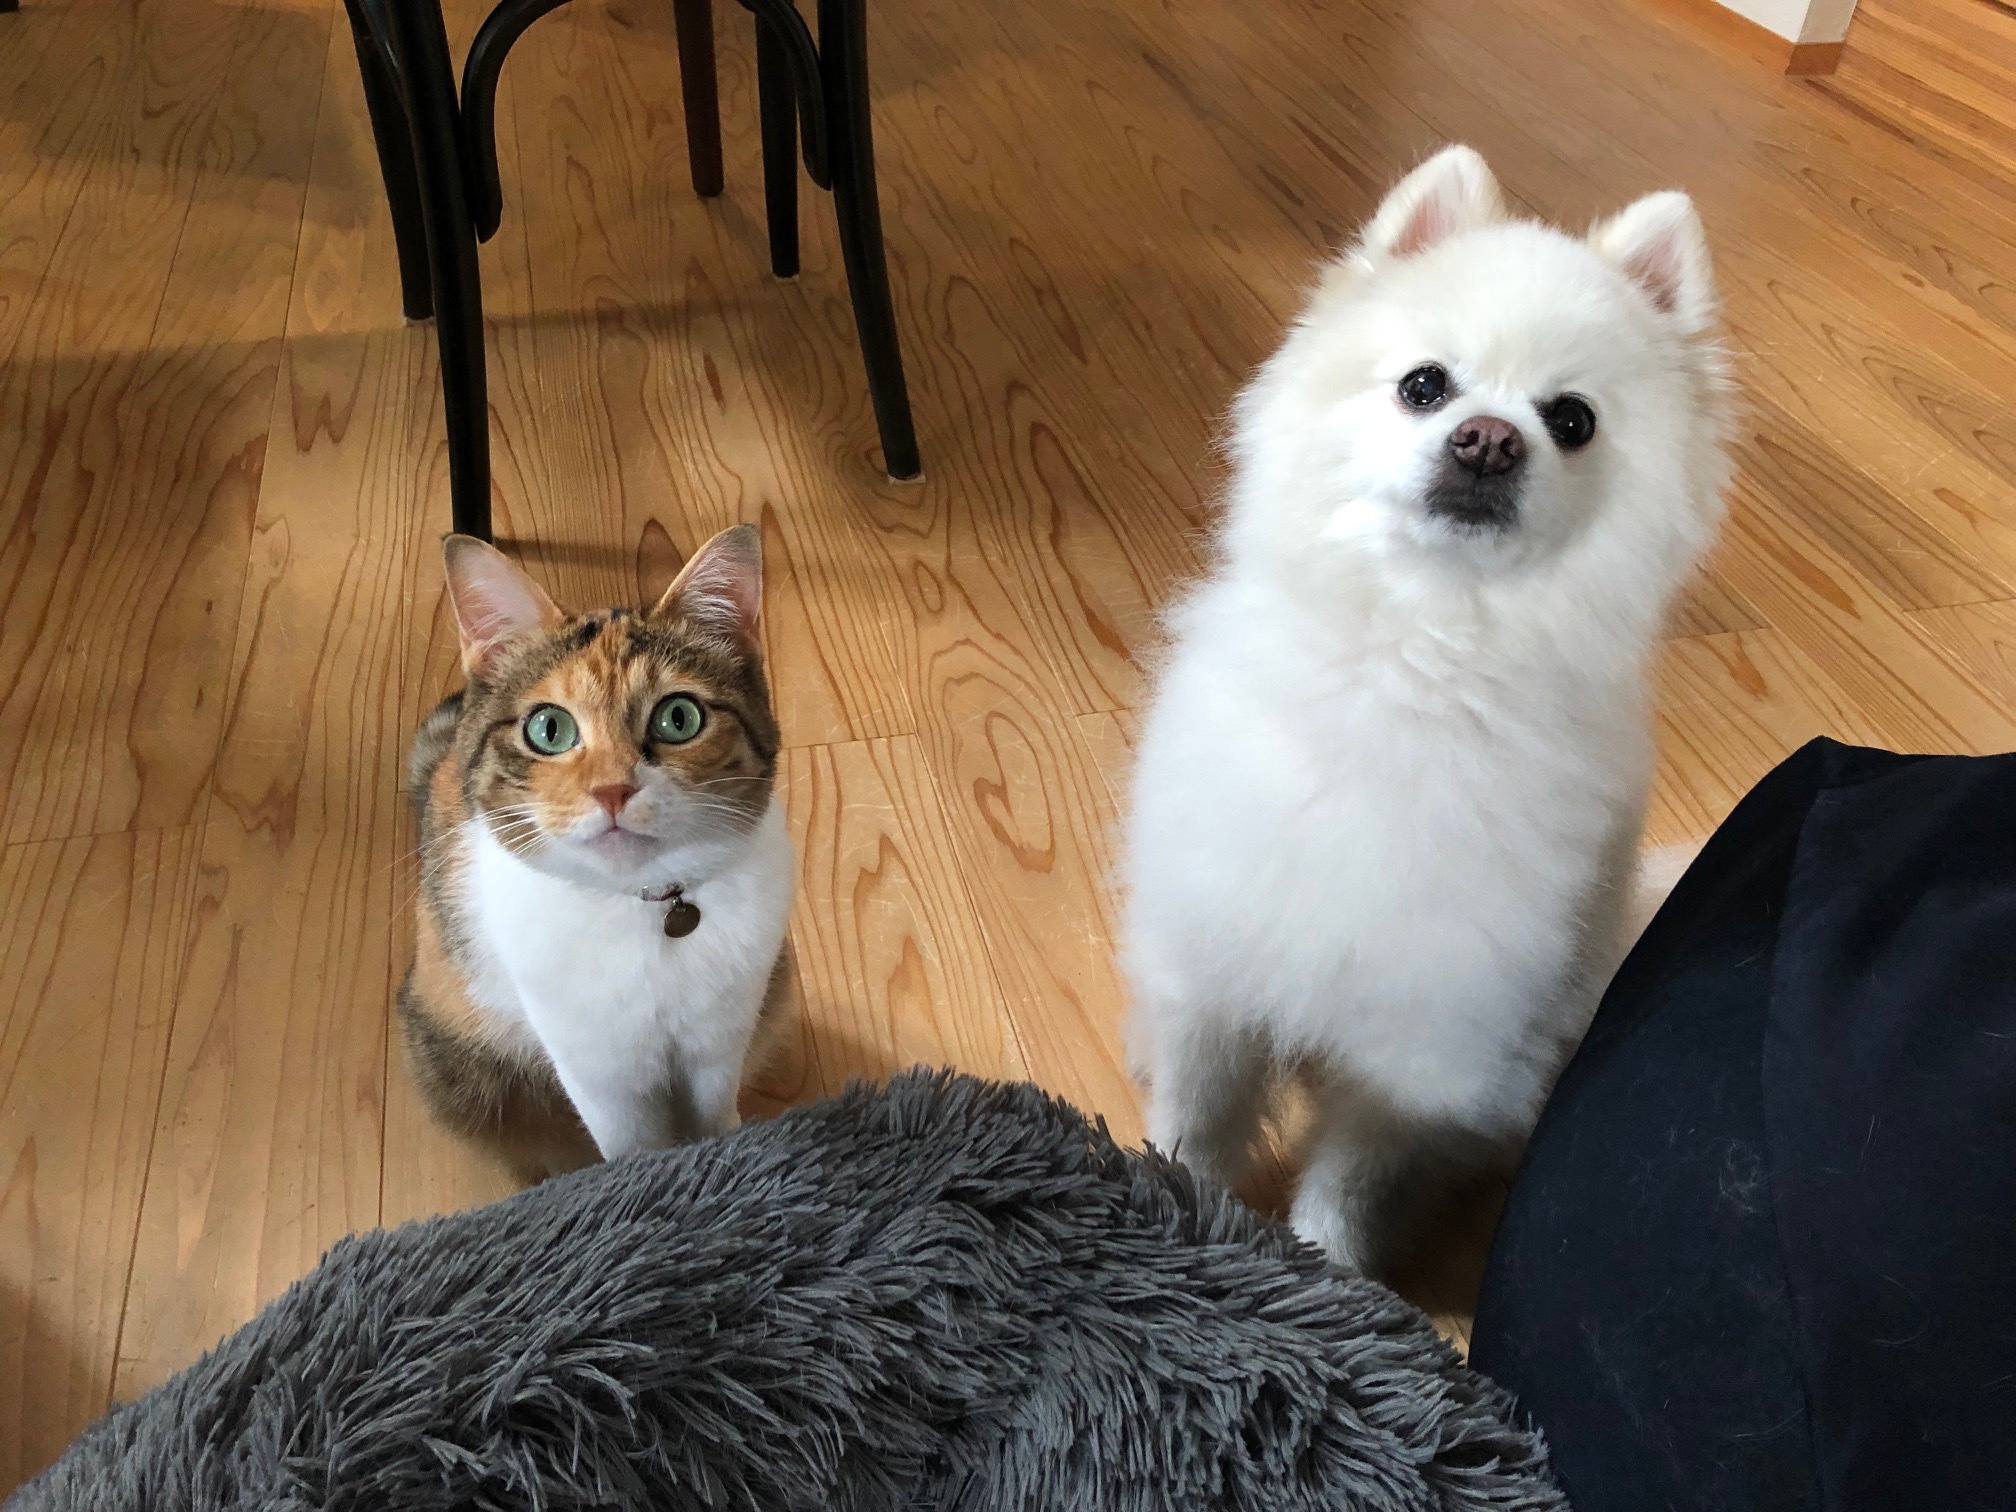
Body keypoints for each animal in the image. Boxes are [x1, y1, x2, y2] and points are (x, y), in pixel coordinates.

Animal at [402, 524, 795, 1183]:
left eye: (679, 717)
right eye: (549, 729)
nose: (613, 789)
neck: (646, 909)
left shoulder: (722, 1032)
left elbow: (714, 1114)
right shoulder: (597, 1066)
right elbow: (632, 1143)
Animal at [1119, 146, 1731, 1272]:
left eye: (1572, 421)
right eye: (1424, 386)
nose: (1488, 440)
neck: (1422, 651)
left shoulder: (1424, 1042)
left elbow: (1349, 1182)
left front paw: (1331, 1274)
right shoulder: (1219, 966)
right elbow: (1199, 1122)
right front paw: (1175, 1216)